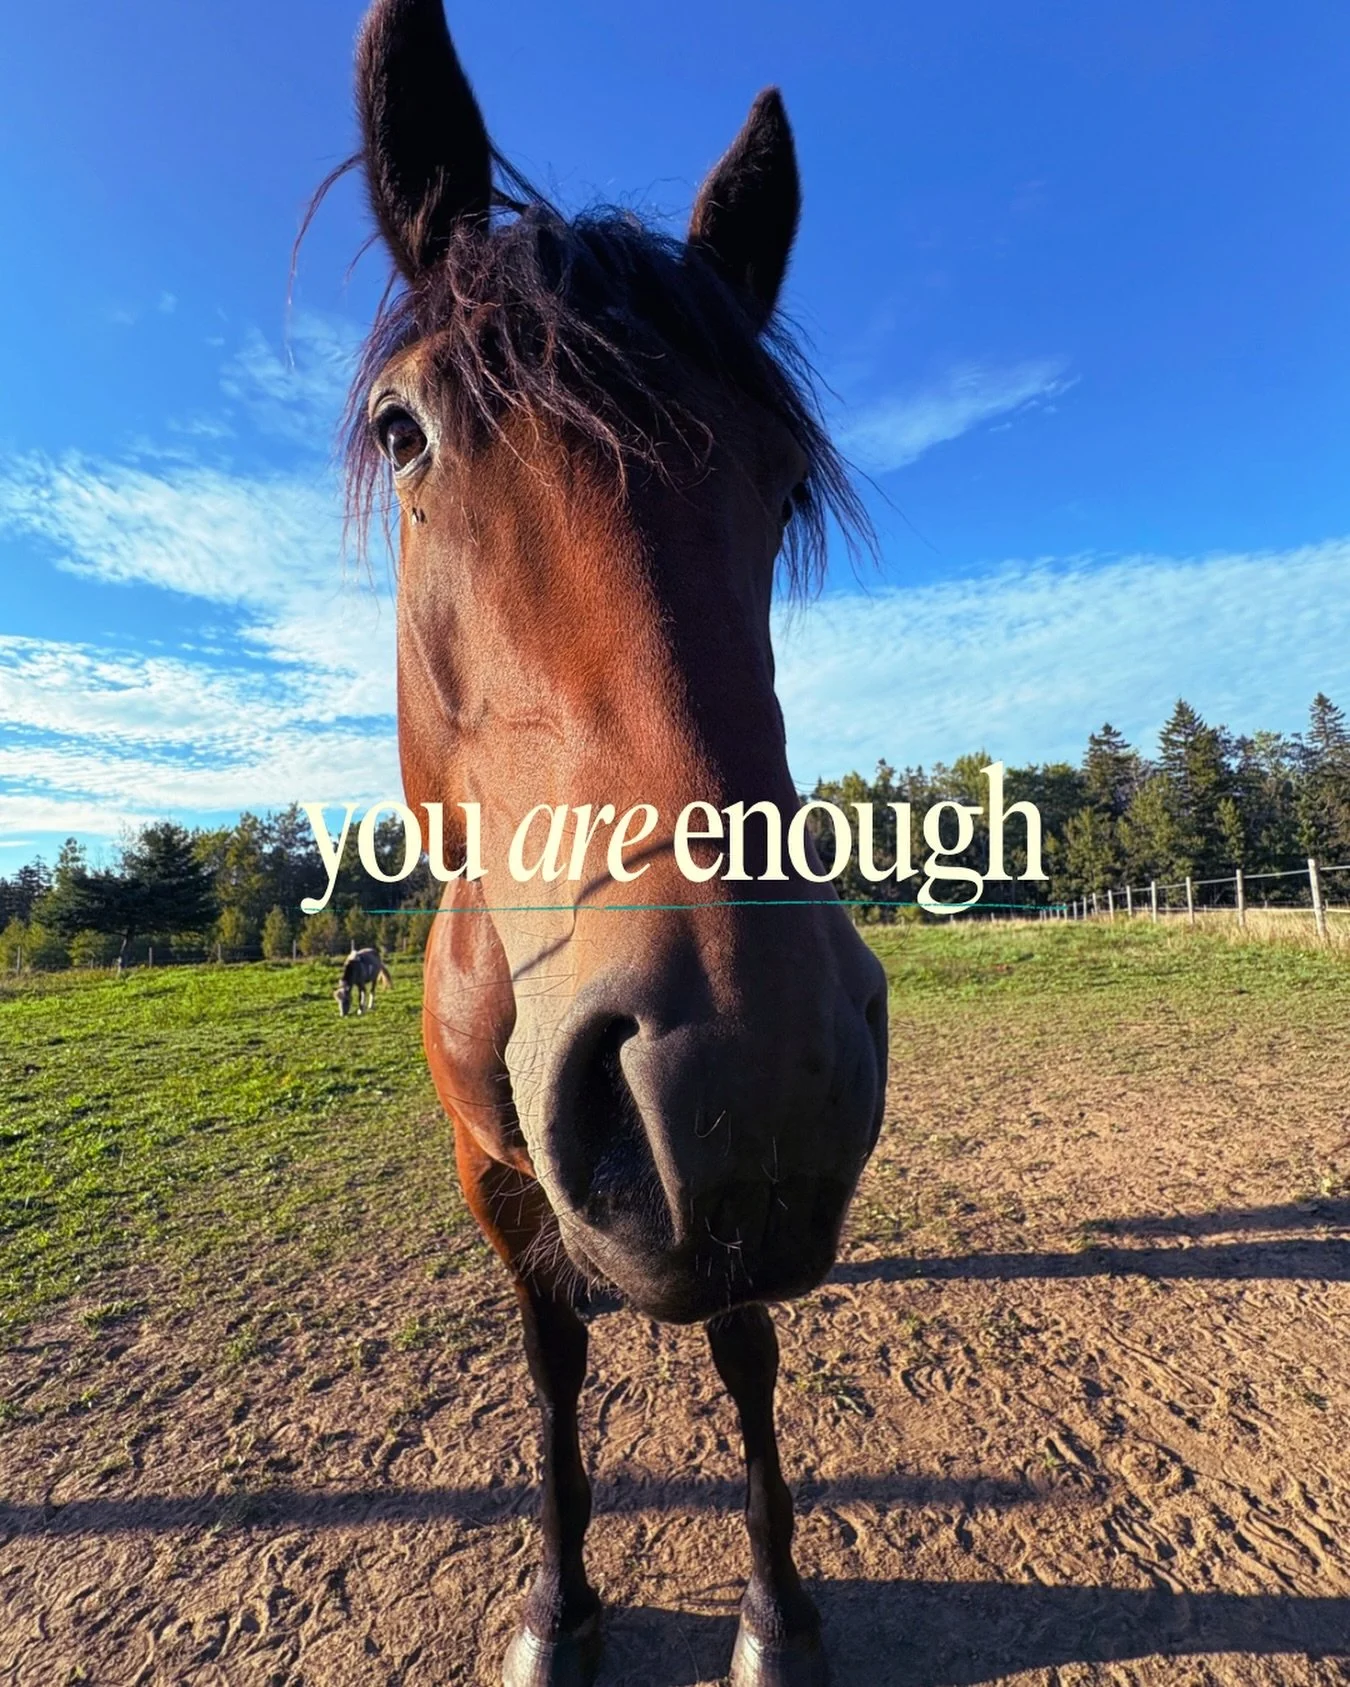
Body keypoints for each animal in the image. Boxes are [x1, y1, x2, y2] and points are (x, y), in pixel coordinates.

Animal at [326, 3, 889, 1681]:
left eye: (780, 480)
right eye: (405, 430)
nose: (743, 1075)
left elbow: (746, 1350)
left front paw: (775, 1610)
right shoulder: (497, 1183)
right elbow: (552, 1369)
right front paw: (554, 1603)